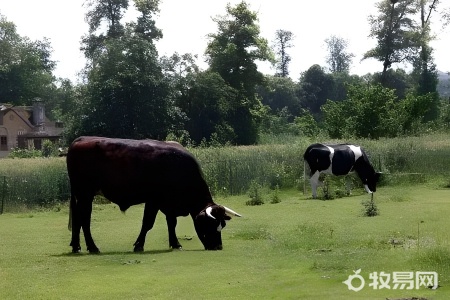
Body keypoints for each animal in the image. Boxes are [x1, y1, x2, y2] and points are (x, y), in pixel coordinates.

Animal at [67, 137, 241, 253]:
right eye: (211, 225)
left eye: (223, 225)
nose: (218, 247)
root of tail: (81, 139)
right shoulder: (153, 200)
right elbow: (147, 223)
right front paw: (139, 245)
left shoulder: (169, 204)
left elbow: (172, 223)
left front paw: (175, 244)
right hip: (85, 194)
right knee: (84, 220)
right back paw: (92, 247)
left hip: (80, 196)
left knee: (77, 219)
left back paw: (76, 246)